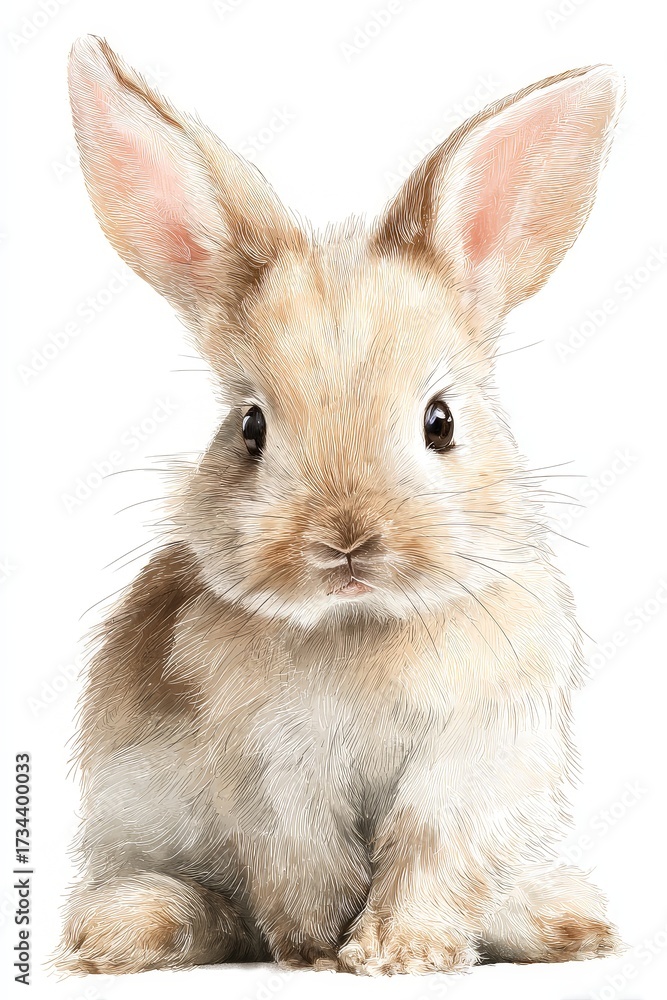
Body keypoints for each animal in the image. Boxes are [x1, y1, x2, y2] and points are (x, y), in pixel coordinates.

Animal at [57, 35, 624, 977]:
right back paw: (124, 932)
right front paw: (323, 954)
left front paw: (401, 953)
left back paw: (567, 923)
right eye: (249, 426)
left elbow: (431, 855)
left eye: (440, 421)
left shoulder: (470, 762)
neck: (361, 625)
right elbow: (306, 866)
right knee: (204, 906)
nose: (346, 541)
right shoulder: (274, 774)